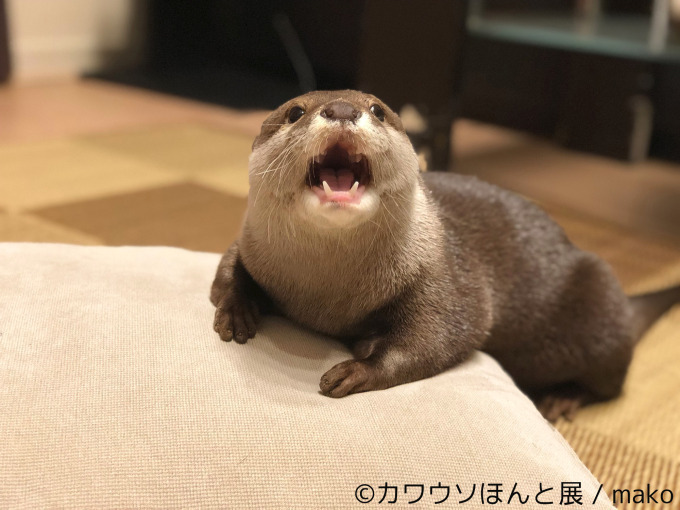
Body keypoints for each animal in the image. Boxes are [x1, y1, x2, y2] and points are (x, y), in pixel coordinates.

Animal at [210, 89, 676, 420]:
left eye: (377, 109)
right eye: (295, 112)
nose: (342, 108)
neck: (326, 296)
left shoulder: (446, 279)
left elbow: (439, 338)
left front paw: (359, 367)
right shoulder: (251, 243)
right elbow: (226, 270)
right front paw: (236, 309)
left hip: (599, 308)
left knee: (611, 383)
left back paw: (562, 398)